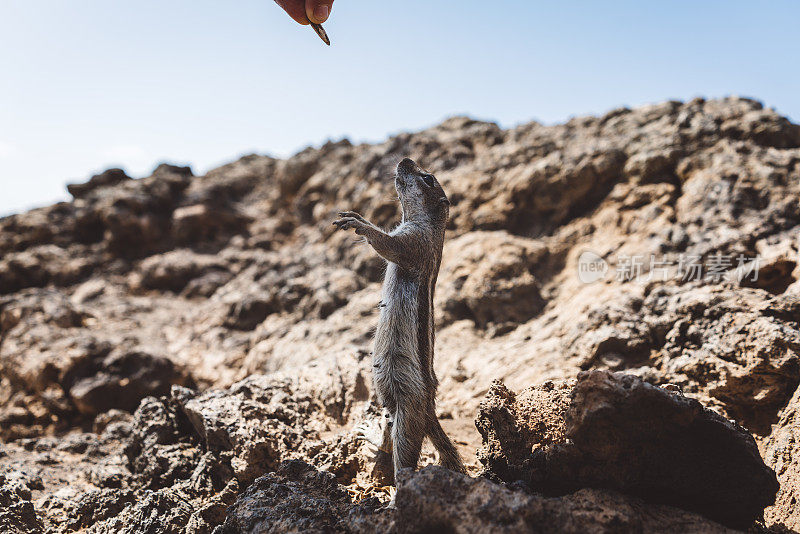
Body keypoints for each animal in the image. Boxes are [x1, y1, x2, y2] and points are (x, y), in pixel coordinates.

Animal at [332, 157, 468, 484]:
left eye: (428, 178)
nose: (404, 159)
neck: (431, 226)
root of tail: (431, 410)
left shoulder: (414, 243)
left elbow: (389, 245)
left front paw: (359, 224)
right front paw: (357, 215)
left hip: (409, 406)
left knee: (404, 455)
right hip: (390, 405)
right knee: (388, 438)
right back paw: (371, 434)